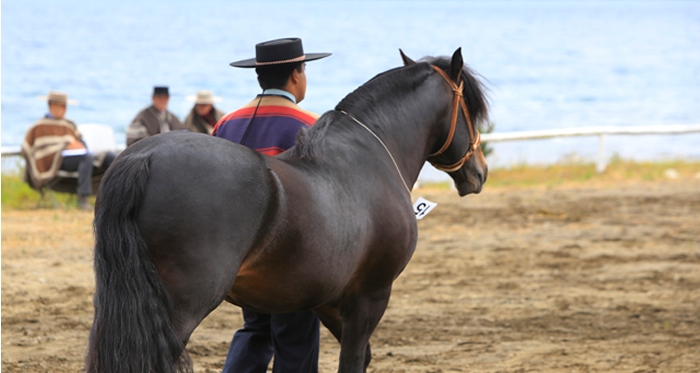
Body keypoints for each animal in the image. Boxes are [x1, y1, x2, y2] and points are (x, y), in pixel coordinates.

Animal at [86, 48, 486, 372]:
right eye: (470, 108)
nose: (479, 172)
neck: (370, 153)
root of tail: (144, 158)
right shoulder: (370, 297)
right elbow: (354, 360)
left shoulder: (324, 300)